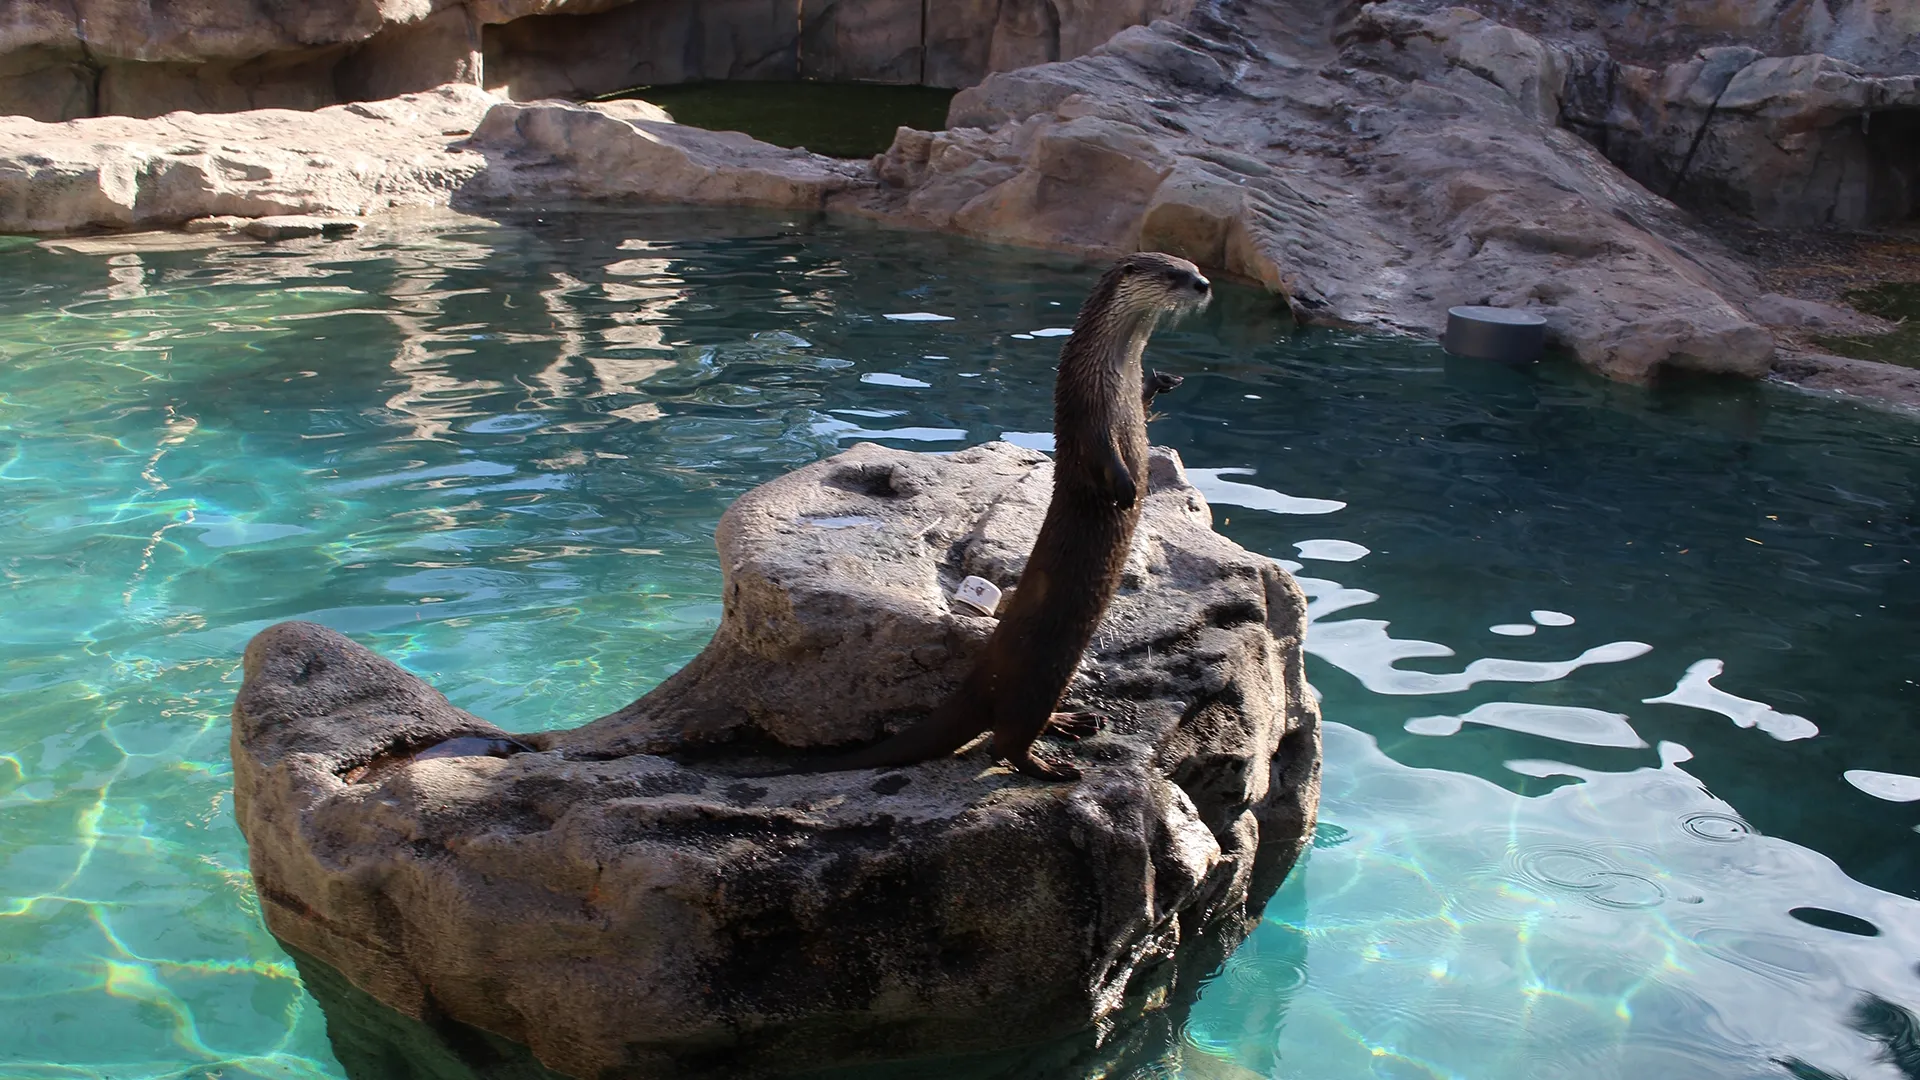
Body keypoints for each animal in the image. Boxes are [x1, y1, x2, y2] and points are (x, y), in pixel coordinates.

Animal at [820, 253, 1211, 781]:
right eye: (1173, 274)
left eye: (1194, 266)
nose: (1204, 285)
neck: (1115, 373)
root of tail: (976, 683)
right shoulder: (1088, 411)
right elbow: (1102, 454)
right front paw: (1127, 489)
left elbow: (1146, 411)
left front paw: (1161, 384)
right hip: (1038, 678)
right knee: (1003, 742)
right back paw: (1051, 767)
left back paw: (1071, 721)